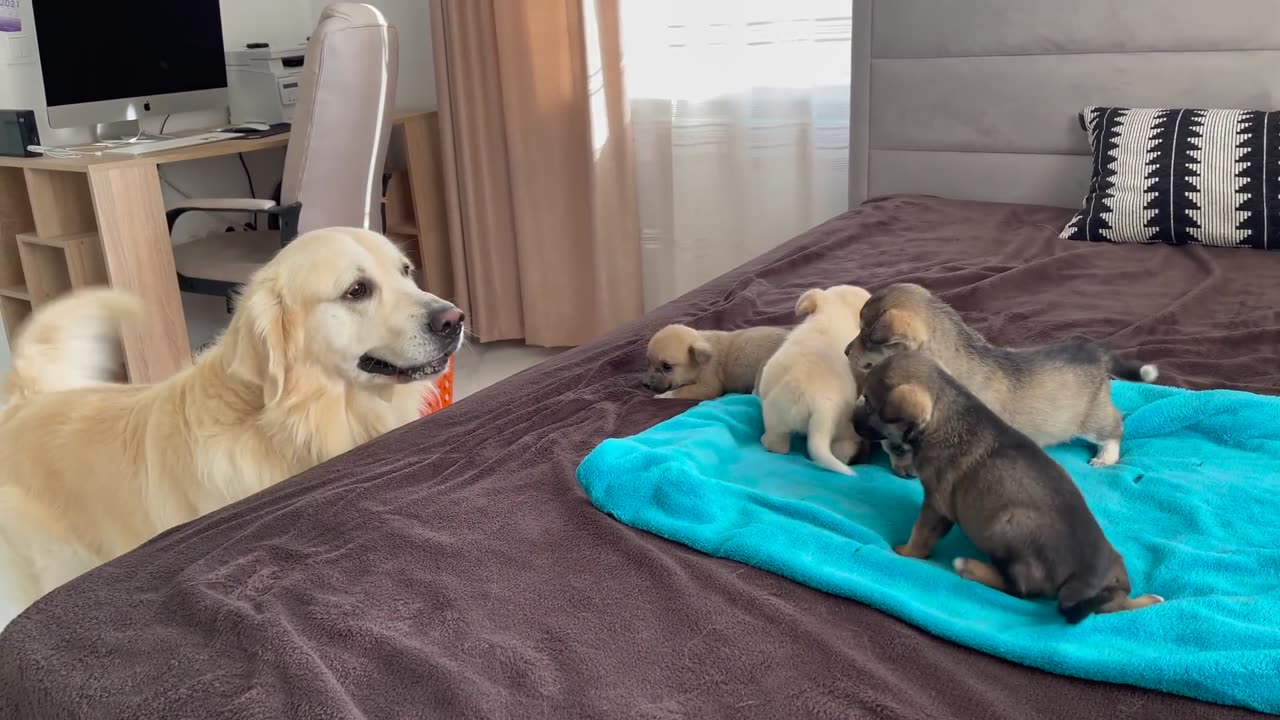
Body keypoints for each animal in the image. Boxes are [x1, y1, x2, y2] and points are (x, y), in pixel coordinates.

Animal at [640, 324, 788, 397]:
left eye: (666, 366)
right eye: (648, 362)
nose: (644, 384)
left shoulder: (708, 386)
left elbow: (680, 391)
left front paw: (663, 395)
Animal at [849, 283, 1162, 474]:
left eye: (866, 334)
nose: (845, 351)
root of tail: (1096, 352)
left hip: (1090, 418)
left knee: (1114, 428)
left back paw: (1105, 457)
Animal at [855, 351, 1167, 620]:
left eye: (869, 402)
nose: (851, 421)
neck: (945, 412)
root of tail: (1084, 576)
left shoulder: (936, 504)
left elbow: (921, 534)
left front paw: (905, 552)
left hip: (1004, 528)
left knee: (1021, 589)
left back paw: (970, 567)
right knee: (1115, 605)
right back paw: (1150, 600)